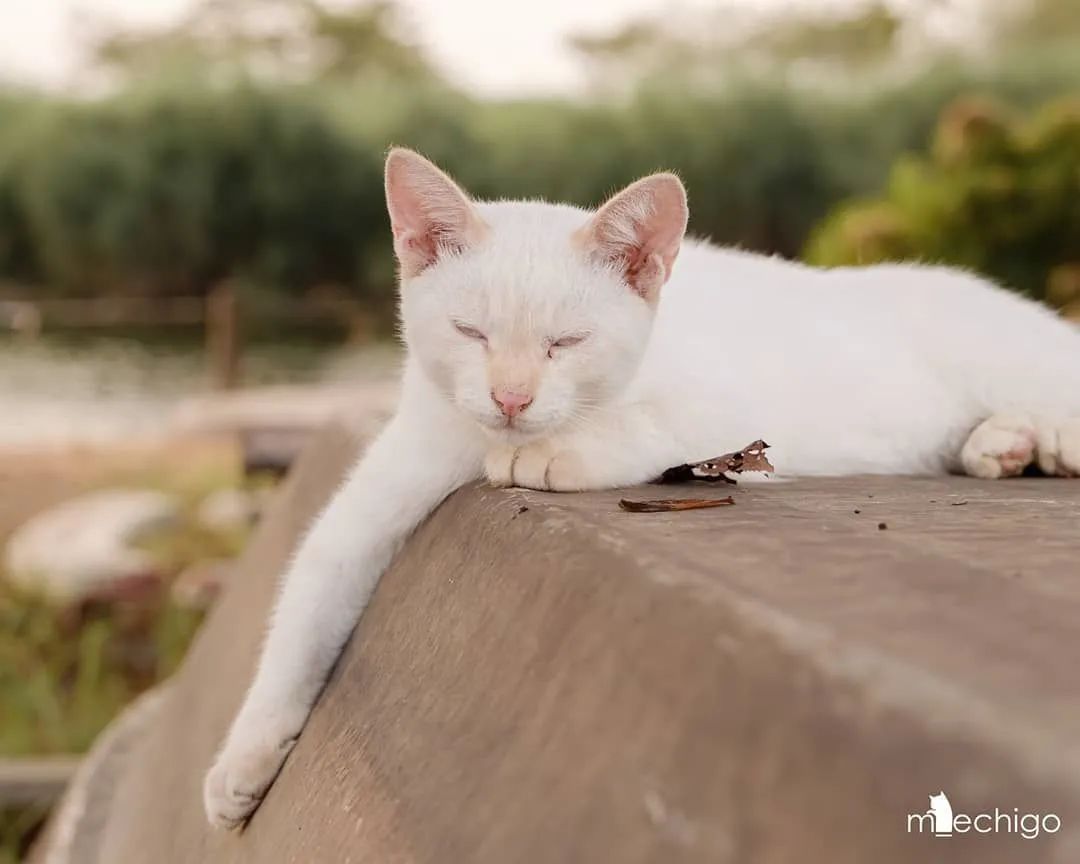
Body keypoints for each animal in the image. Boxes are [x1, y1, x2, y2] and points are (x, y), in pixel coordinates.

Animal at [204, 150, 1080, 829]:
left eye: (565, 343)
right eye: (471, 333)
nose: (512, 399)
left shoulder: (737, 408)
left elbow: (654, 422)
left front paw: (561, 451)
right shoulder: (409, 455)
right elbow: (312, 587)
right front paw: (246, 755)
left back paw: (1046, 439)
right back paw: (1004, 444)